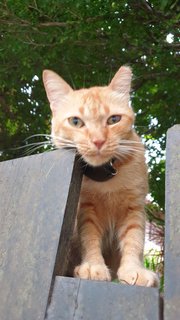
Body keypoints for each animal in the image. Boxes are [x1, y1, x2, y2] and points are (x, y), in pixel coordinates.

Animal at [43, 66, 158, 286]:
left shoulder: (134, 207)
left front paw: (133, 270)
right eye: (75, 121)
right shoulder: (86, 210)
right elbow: (90, 239)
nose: (98, 141)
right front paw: (93, 266)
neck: (106, 180)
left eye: (114, 120)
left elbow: (134, 239)